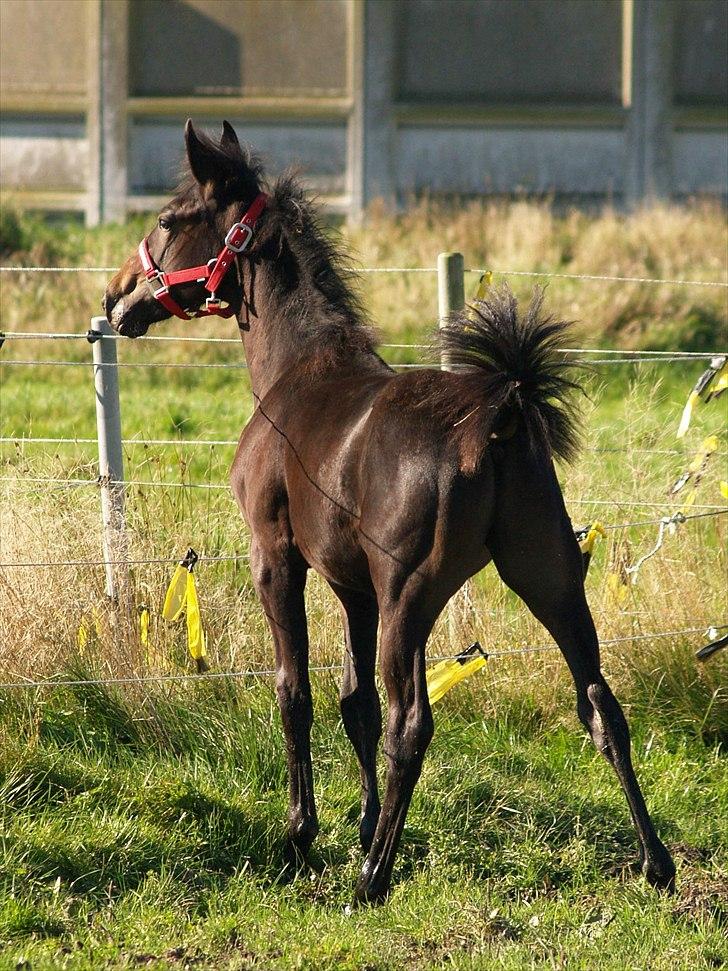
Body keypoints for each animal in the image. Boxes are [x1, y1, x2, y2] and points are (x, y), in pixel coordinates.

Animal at [104, 119, 676, 904]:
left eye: (167, 221)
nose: (118, 297)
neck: (297, 371)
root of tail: (498, 418)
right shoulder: (354, 586)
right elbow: (355, 704)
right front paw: (363, 822)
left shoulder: (277, 557)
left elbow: (296, 690)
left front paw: (304, 833)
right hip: (551, 578)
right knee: (600, 703)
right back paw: (656, 861)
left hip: (414, 596)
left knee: (415, 722)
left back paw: (373, 878)